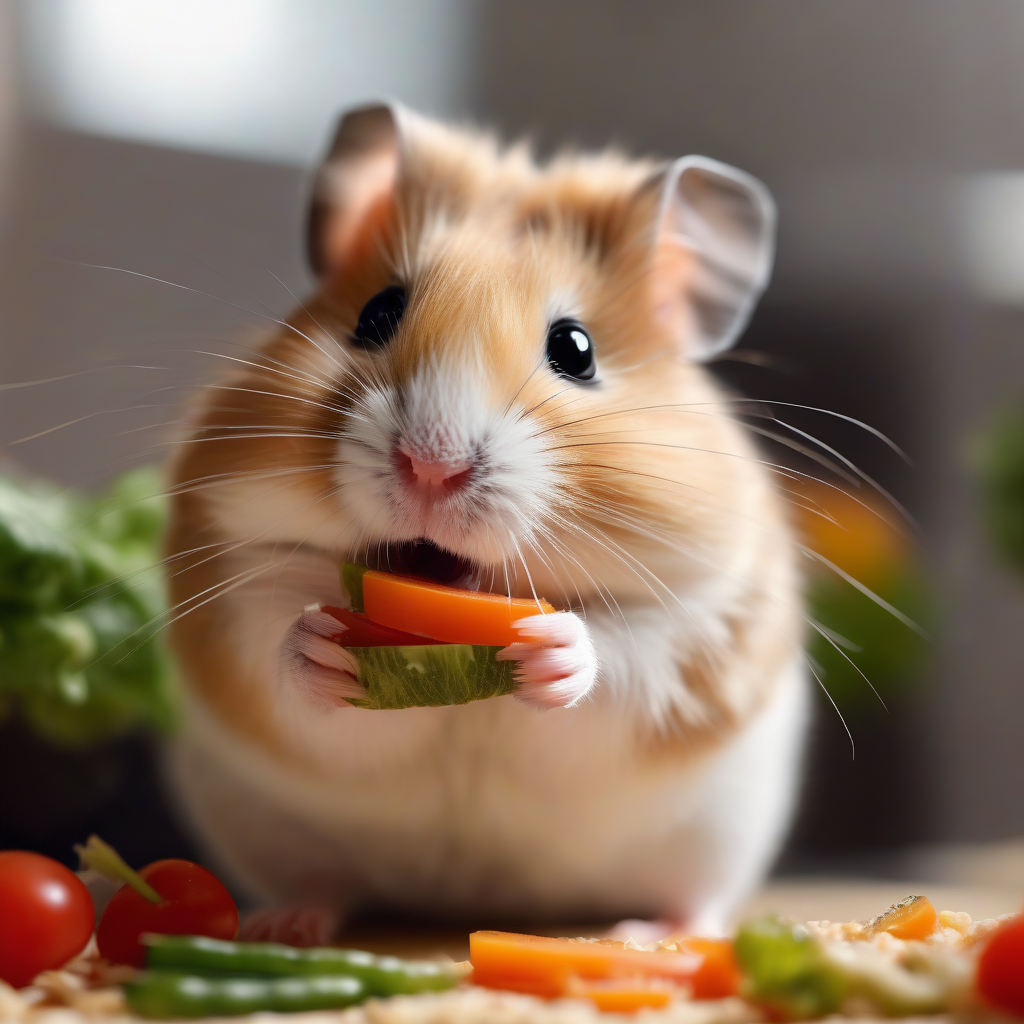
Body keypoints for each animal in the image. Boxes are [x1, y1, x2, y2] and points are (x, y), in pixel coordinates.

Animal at [164, 103, 807, 942]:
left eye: (576, 349)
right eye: (376, 313)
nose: (431, 467)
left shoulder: (695, 622)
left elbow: (615, 667)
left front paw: (552, 648)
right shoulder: (242, 578)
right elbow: (283, 656)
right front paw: (320, 645)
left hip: (713, 842)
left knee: (694, 901)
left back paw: (647, 936)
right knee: (320, 883)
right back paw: (286, 925)